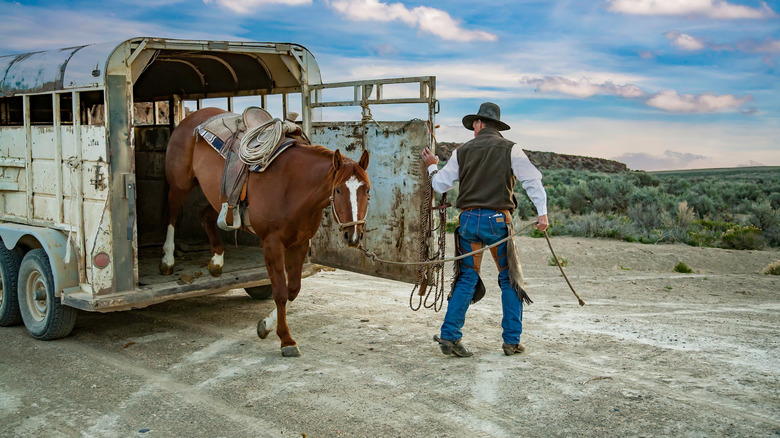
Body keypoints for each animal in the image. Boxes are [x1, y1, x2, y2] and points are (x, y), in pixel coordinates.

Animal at [160, 107, 371, 357]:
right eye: (338, 190)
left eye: (367, 191)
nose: (353, 236)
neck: (293, 185)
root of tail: (193, 117)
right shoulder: (272, 244)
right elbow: (280, 292)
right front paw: (286, 340)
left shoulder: (300, 243)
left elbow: (293, 289)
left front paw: (266, 326)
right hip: (180, 183)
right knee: (172, 214)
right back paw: (168, 259)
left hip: (222, 198)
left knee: (205, 216)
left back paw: (217, 261)